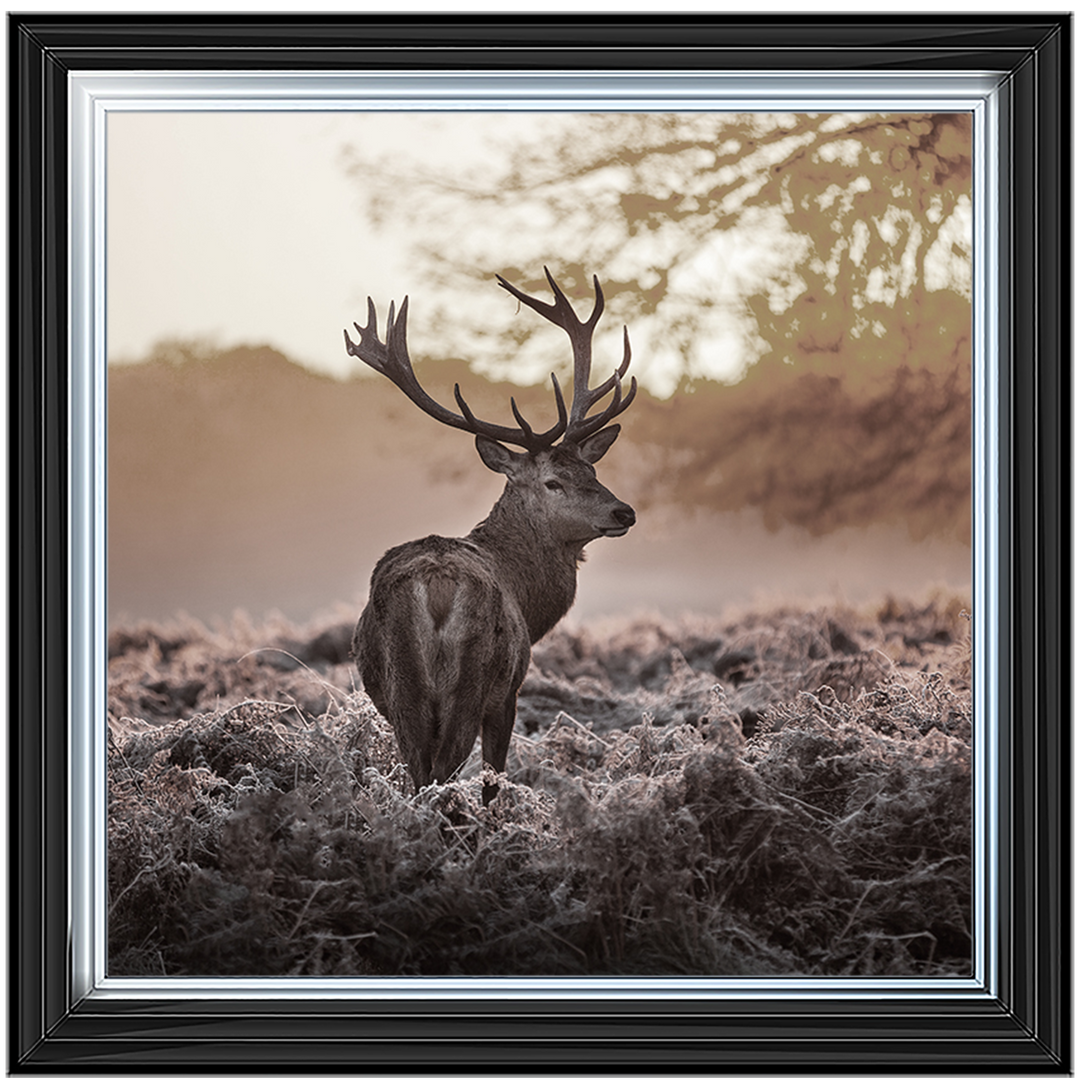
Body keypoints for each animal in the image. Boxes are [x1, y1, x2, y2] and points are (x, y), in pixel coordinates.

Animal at [345, 268, 637, 805]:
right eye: (553, 481)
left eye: (591, 469)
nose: (623, 511)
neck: (528, 597)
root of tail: (435, 586)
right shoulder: (509, 692)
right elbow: (493, 779)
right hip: (472, 679)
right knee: (443, 772)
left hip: (402, 688)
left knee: (419, 772)